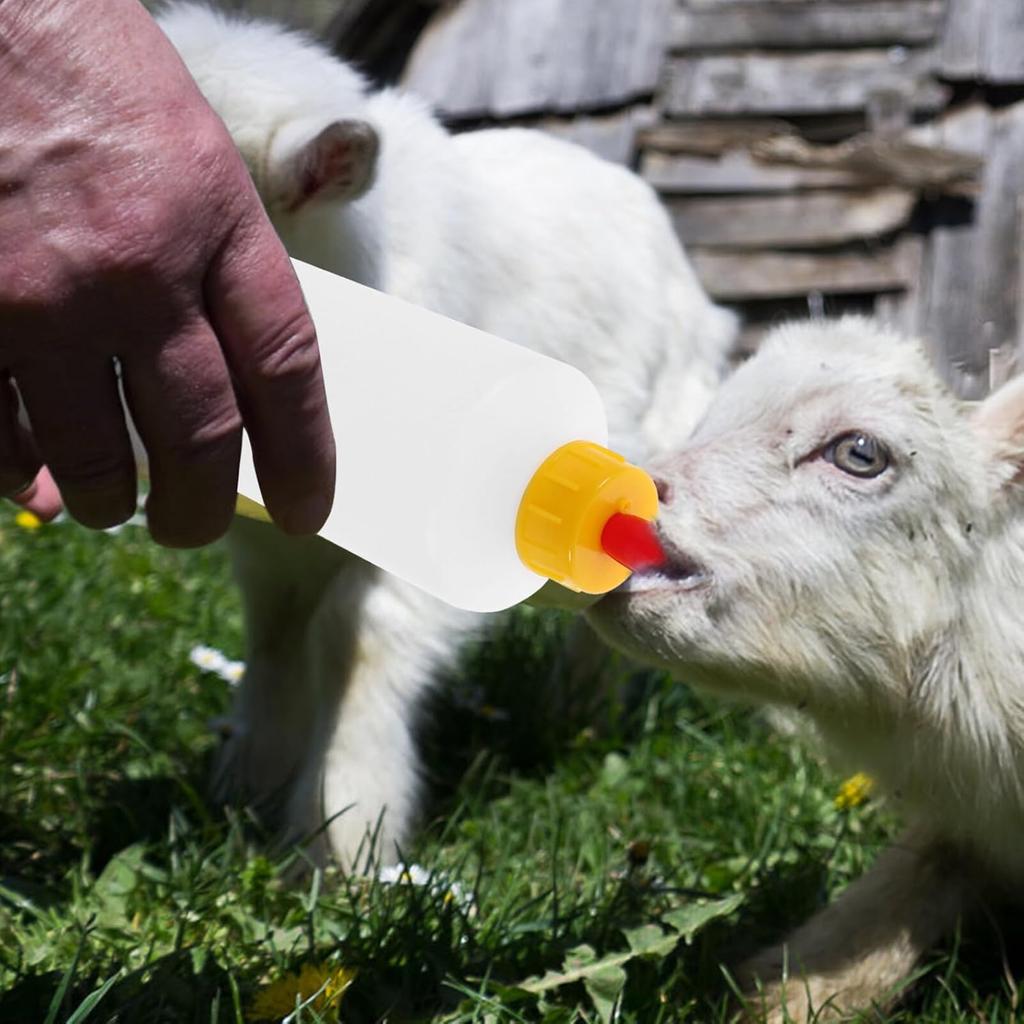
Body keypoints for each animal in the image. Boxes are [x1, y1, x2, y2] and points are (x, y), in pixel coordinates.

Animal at [155, 3, 736, 868]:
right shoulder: (271, 541)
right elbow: (277, 633)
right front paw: (244, 786)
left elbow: (352, 637)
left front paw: (343, 833)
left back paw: (578, 719)